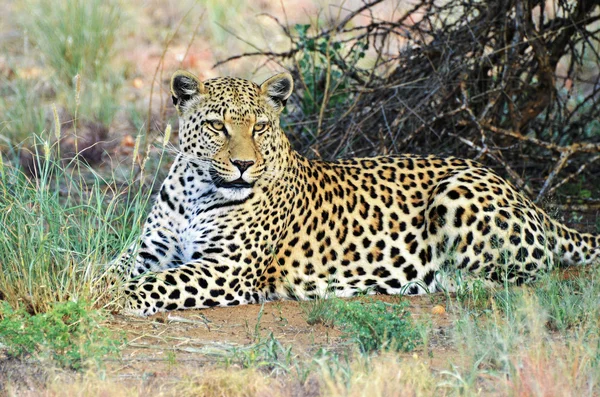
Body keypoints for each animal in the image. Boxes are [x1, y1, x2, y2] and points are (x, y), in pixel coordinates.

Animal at [119, 69, 596, 316]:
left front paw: (114, 299)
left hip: (455, 193)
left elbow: (156, 284)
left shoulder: (227, 268)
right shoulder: (149, 248)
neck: (197, 189)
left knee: (529, 274)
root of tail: (525, 196)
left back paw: (433, 280)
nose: (243, 165)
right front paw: (101, 288)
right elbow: (117, 269)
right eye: (218, 126)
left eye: (260, 127)